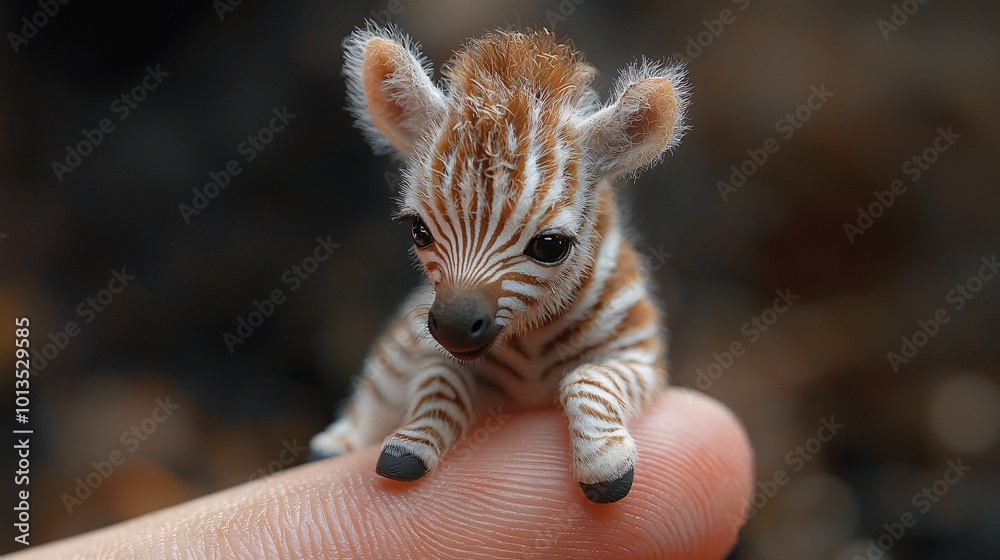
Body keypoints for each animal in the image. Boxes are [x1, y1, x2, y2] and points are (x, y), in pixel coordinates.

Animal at [310, 22, 689, 503]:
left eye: (550, 246)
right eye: (418, 231)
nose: (453, 327)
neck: (530, 343)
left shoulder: (642, 357)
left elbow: (587, 382)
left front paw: (605, 464)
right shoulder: (431, 357)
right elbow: (439, 381)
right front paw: (407, 448)